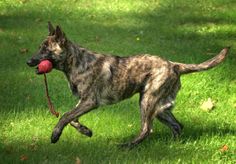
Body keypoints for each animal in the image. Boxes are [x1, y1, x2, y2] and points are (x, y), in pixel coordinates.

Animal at [26, 22, 230, 147]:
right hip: (161, 108)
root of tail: (174, 65)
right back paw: (173, 146)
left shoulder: (90, 101)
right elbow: (72, 118)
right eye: (39, 47)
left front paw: (55, 134)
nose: (28, 62)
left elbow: (65, 116)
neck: (76, 61)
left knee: (147, 129)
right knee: (177, 126)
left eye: (45, 49)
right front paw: (85, 131)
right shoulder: (83, 102)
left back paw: (127, 146)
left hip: (147, 101)